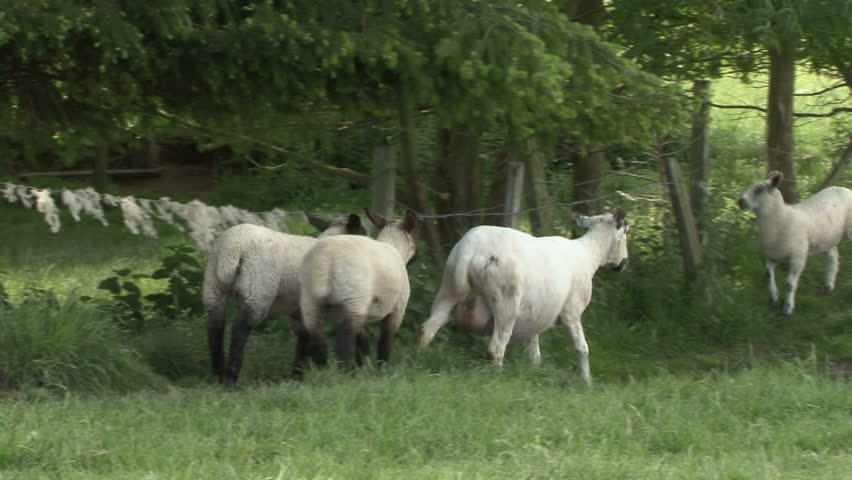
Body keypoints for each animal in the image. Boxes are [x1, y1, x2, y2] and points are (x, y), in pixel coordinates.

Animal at [203, 213, 367, 384]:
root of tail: (233, 248)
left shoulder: (299, 311)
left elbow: (304, 338)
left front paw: (298, 376)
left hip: (214, 287)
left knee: (215, 329)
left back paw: (217, 376)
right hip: (258, 289)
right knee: (239, 329)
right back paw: (230, 380)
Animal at [295, 209, 418, 373]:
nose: (416, 259)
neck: (394, 246)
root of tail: (325, 260)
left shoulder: (357, 311)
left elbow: (363, 339)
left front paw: (361, 368)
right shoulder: (398, 309)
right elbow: (385, 342)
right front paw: (382, 370)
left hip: (311, 302)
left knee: (311, 338)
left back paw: (312, 374)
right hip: (353, 301)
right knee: (344, 341)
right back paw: (341, 375)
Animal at [418, 207, 630, 384]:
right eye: (626, 231)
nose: (624, 263)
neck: (589, 254)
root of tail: (470, 251)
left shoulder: (535, 316)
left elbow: (534, 354)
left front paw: (534, 374)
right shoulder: (572, 311)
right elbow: (582, 348)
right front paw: (587, 382)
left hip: (448, 291)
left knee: (427, 329)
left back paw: (421, 361)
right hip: (505, 302)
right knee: (496, 348)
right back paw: (497, 381)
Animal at [737, 171, 852, 315]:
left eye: (759, 190)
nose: (740, 202)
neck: (782, 218)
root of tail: (844, 188)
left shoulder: (798, 257)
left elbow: (789, 284)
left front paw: (787, 309)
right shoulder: (772, 255)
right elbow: (768, 275)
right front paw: (774, 300)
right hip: (827, 237)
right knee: (833, 257)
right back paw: (827, 287)